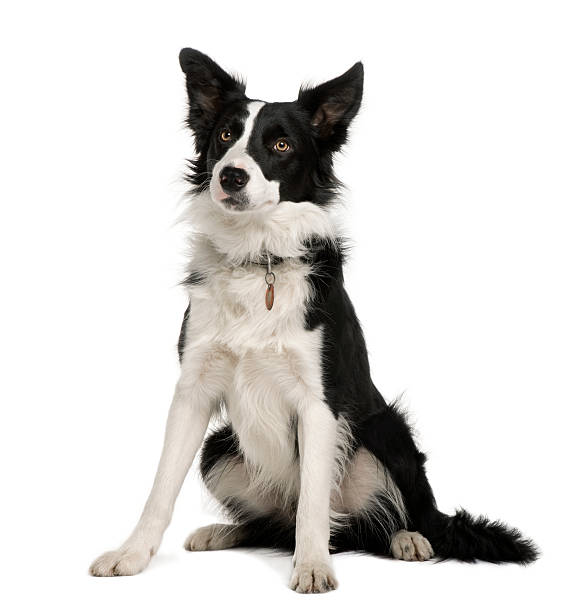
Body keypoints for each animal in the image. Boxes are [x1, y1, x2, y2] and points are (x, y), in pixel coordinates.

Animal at [91, 47, 540, 592]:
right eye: (225, 135)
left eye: (280, 144)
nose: (230, 176)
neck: (259, 256)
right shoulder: (193, 390)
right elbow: (160, 486)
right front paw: (131, 554)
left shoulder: (319, 400)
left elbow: (312, 502)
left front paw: (311, 567)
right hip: (220, 445)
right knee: (281, 524)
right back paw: (225, 531)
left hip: (386, 430)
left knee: (388, 520)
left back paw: (408, 539)